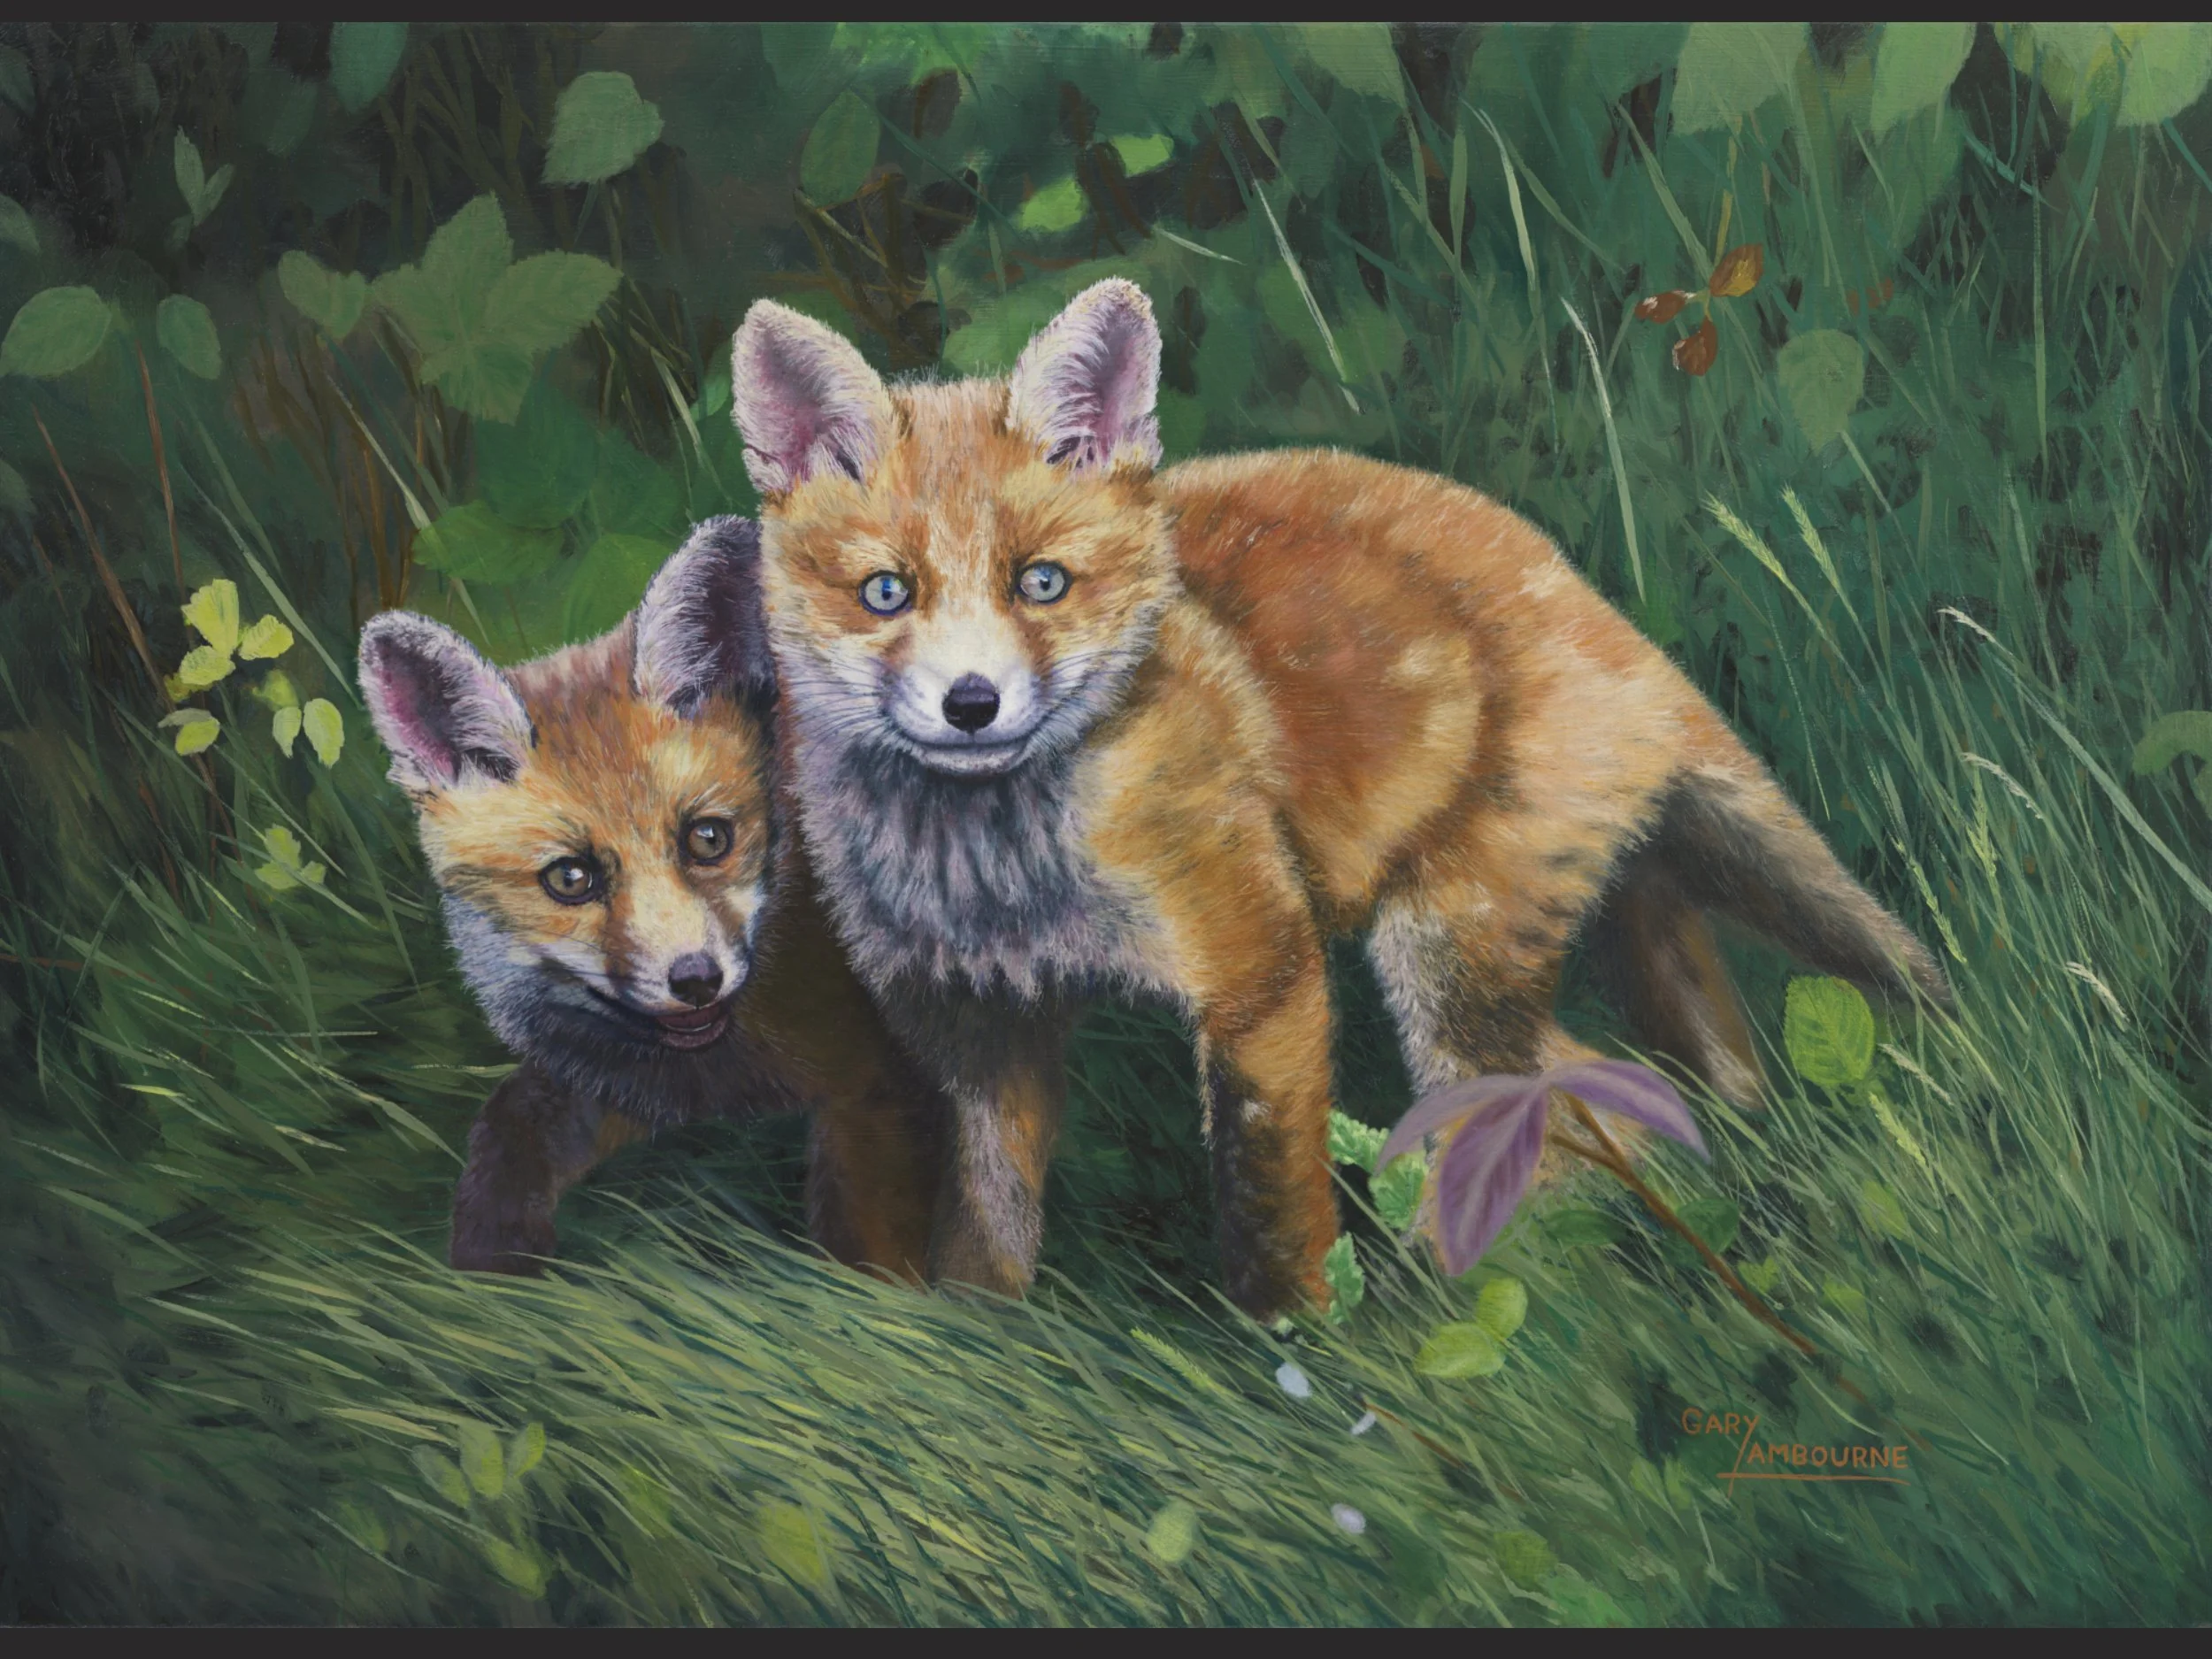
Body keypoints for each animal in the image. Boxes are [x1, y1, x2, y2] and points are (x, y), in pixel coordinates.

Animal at [357, 518, 942, 1280]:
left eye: (708, 838)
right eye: (571, 878)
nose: (696, 980)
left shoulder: (876, 1083)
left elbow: (872, 1258)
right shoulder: (621, 1082)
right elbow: (505, 1127)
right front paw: (493, 1273)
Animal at [726, 279, 1952, 1320]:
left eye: (1041, 584)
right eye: (887, 593)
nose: (973, 704)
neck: (1003, 875)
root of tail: (1582, 593)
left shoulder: (1259, 973)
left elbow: (1272, 1210)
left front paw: (1297, 1358)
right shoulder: (977, 1036)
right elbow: (987, 1232)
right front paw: (977, 1339)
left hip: (1445, 965)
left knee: (1561, 1122)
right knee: (1633, 1102)